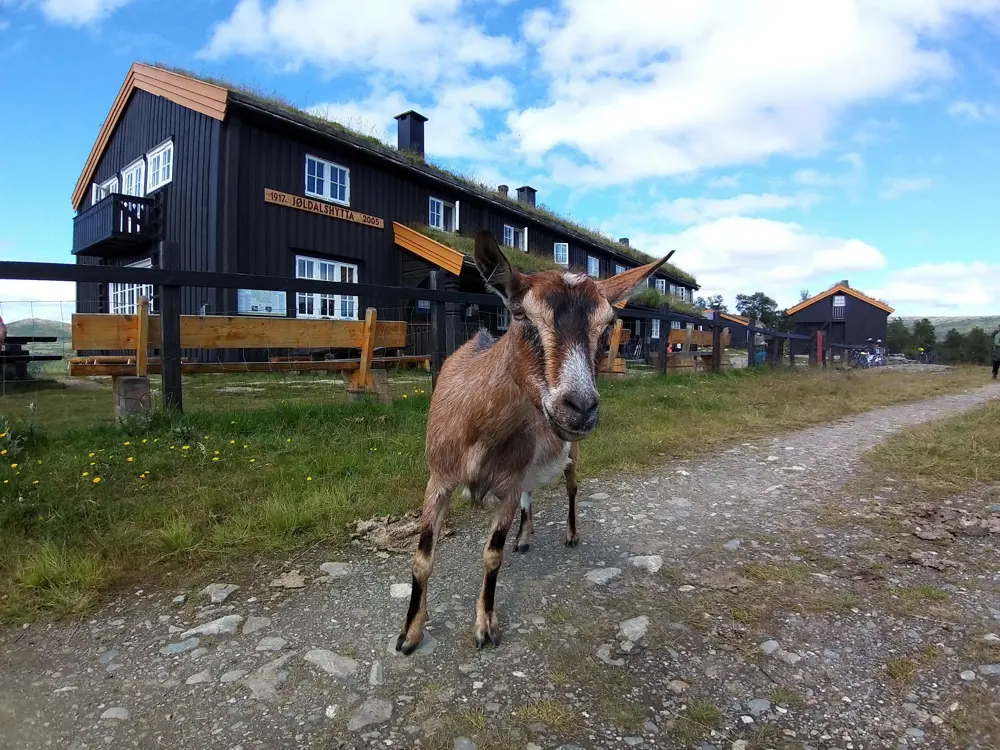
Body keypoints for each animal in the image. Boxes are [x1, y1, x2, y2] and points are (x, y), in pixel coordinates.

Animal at [394, 231, 676, 656]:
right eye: (521, 315)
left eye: (608, 325)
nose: (580, 406)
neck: (478, 428)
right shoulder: (438, 478)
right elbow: (422, 557)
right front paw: (409, 634)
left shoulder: (508, 485)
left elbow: (492, 556)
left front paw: (485, 627)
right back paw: (525, 537)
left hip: (572, 454)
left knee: (572, 488)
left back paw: (571, 534)